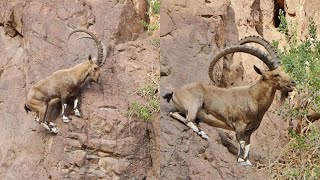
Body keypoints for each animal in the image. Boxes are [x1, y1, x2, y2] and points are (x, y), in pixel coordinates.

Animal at [164, 37, 296, 167]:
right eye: (276, 74)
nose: (293, 83)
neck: (253, 98)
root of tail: (175, 92)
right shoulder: (240, 124)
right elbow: (241, 141)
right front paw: (240, 160)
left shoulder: (250, 131)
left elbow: (248, 145)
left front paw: (248, 162)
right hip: (195, 103)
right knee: (188, 120)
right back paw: (203, 134)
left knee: (176, 114)